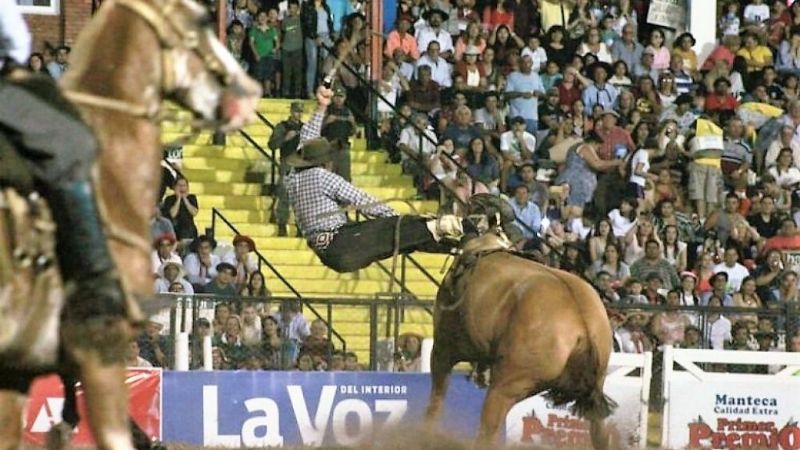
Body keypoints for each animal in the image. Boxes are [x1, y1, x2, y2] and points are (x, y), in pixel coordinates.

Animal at [424, 231, 616, 450]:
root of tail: (582, 325)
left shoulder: (443, 350)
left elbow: (435, 403)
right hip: (592, 390)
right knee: (600, 433)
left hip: (505, 386)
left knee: (487, 431)